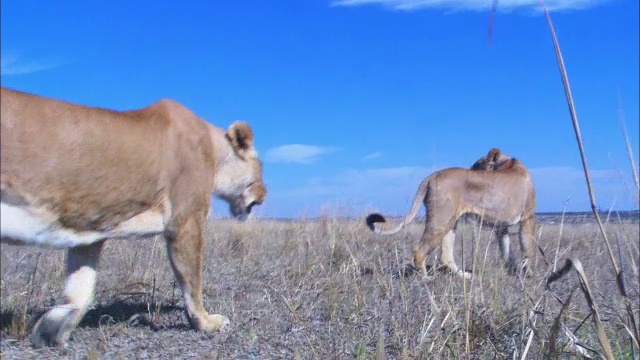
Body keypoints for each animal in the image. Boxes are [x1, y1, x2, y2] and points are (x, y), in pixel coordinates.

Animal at [0, 87, 264, 346]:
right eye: (260, 168)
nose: (264, 195)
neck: (215, 151)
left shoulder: (92, 223)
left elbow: (81, 286)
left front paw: (52, 330)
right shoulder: (185, 221)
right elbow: (192, 280)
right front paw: (206, 322)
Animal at [364, 148, 536, 278]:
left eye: (476, 165)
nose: (469, 169)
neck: (508, 163)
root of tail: (432, 175)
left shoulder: (501, 227)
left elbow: (506, 250)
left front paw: (511, 270)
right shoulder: (528, 218)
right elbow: (527, 248)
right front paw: (529, 274)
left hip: (451, 222)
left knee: (445, 256)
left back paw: (466, 276)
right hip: (441, 220)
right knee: (420, 251)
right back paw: (426, 279)